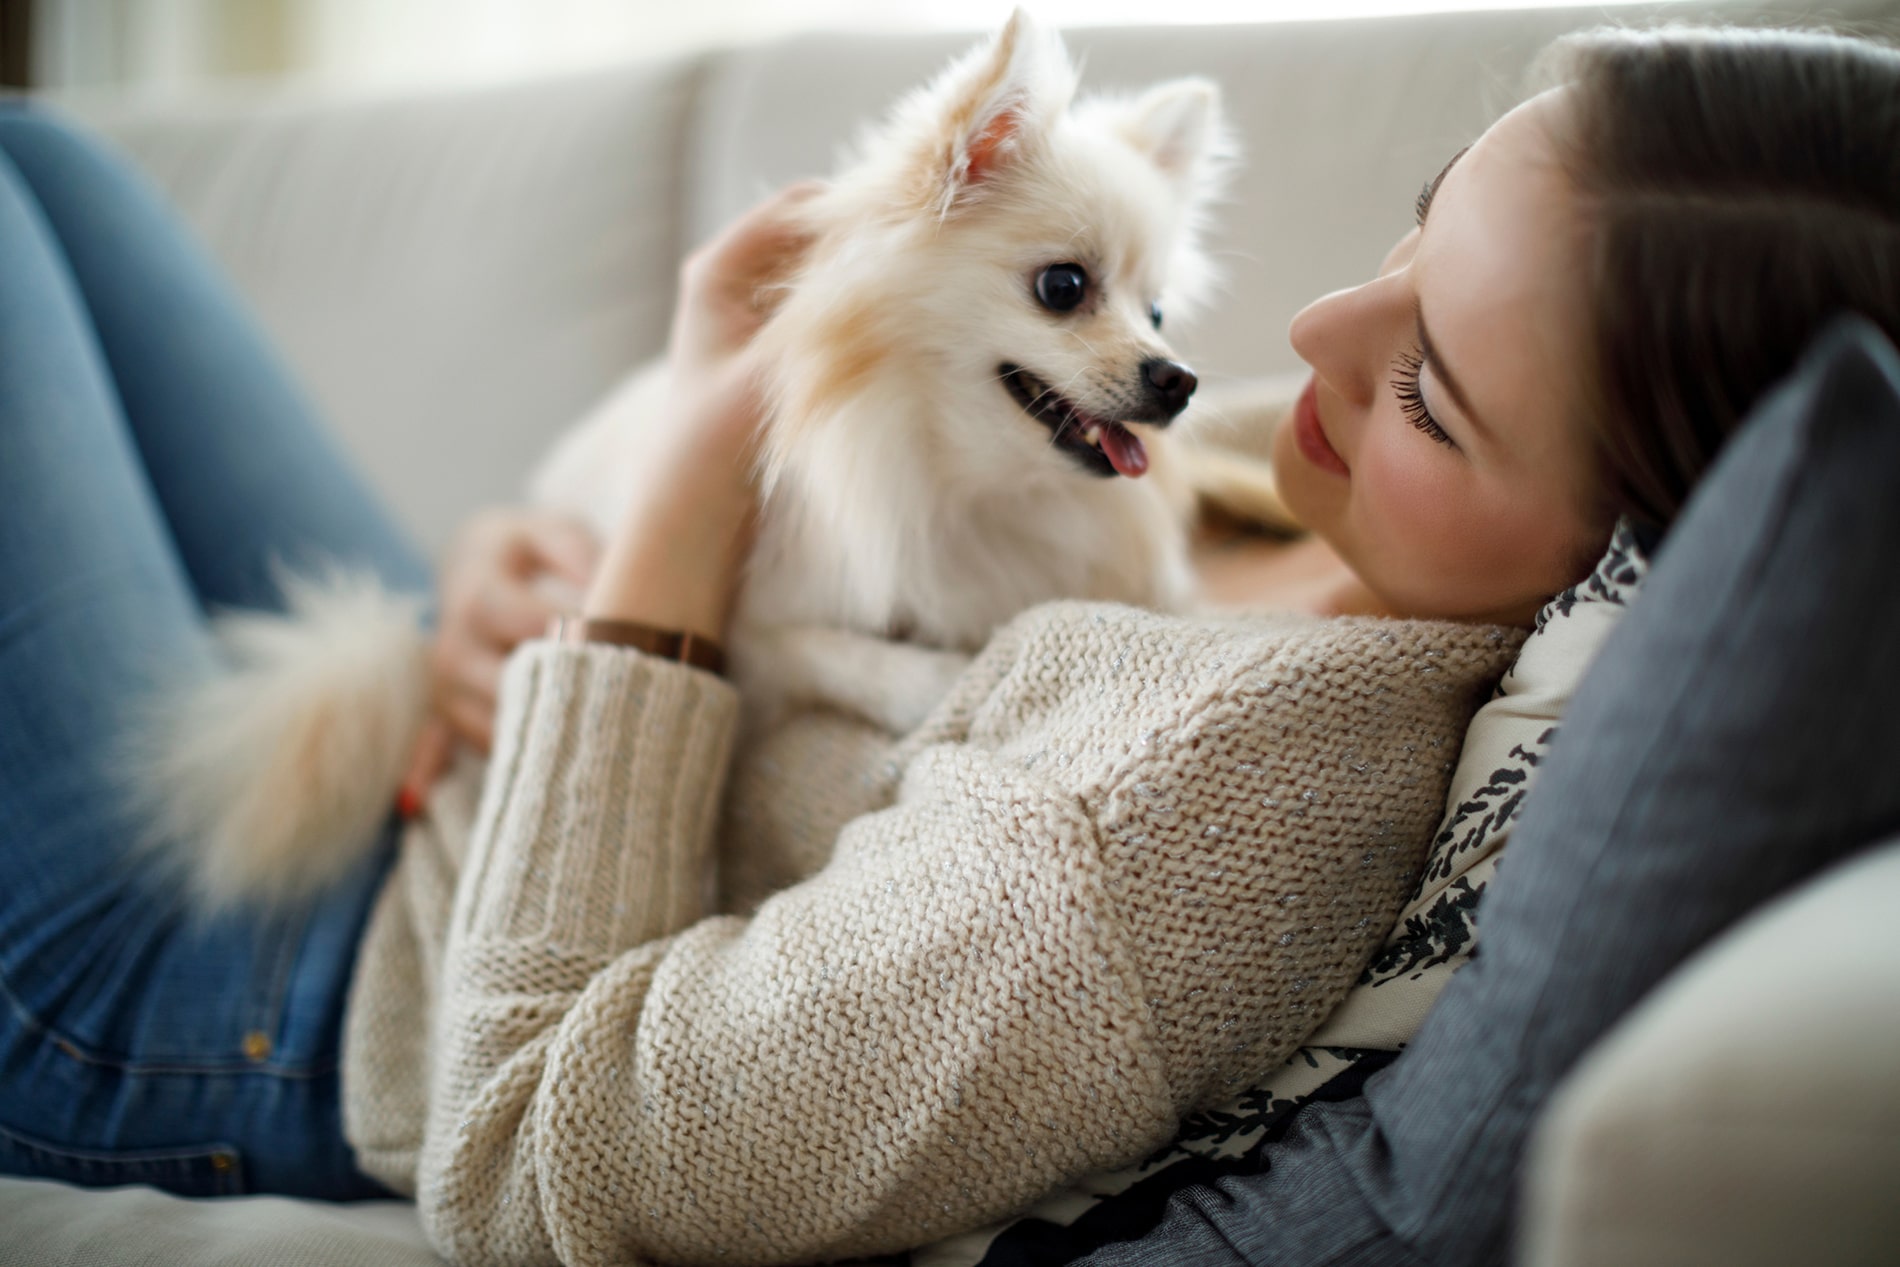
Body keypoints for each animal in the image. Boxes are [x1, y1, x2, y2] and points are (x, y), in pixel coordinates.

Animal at [133, 4, 1231, 907]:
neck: (963, 484)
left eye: (1158, 313)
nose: (1178, 378)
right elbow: (837, 650)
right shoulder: (749, 630)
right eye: (1062, 286)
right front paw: (938, 676)